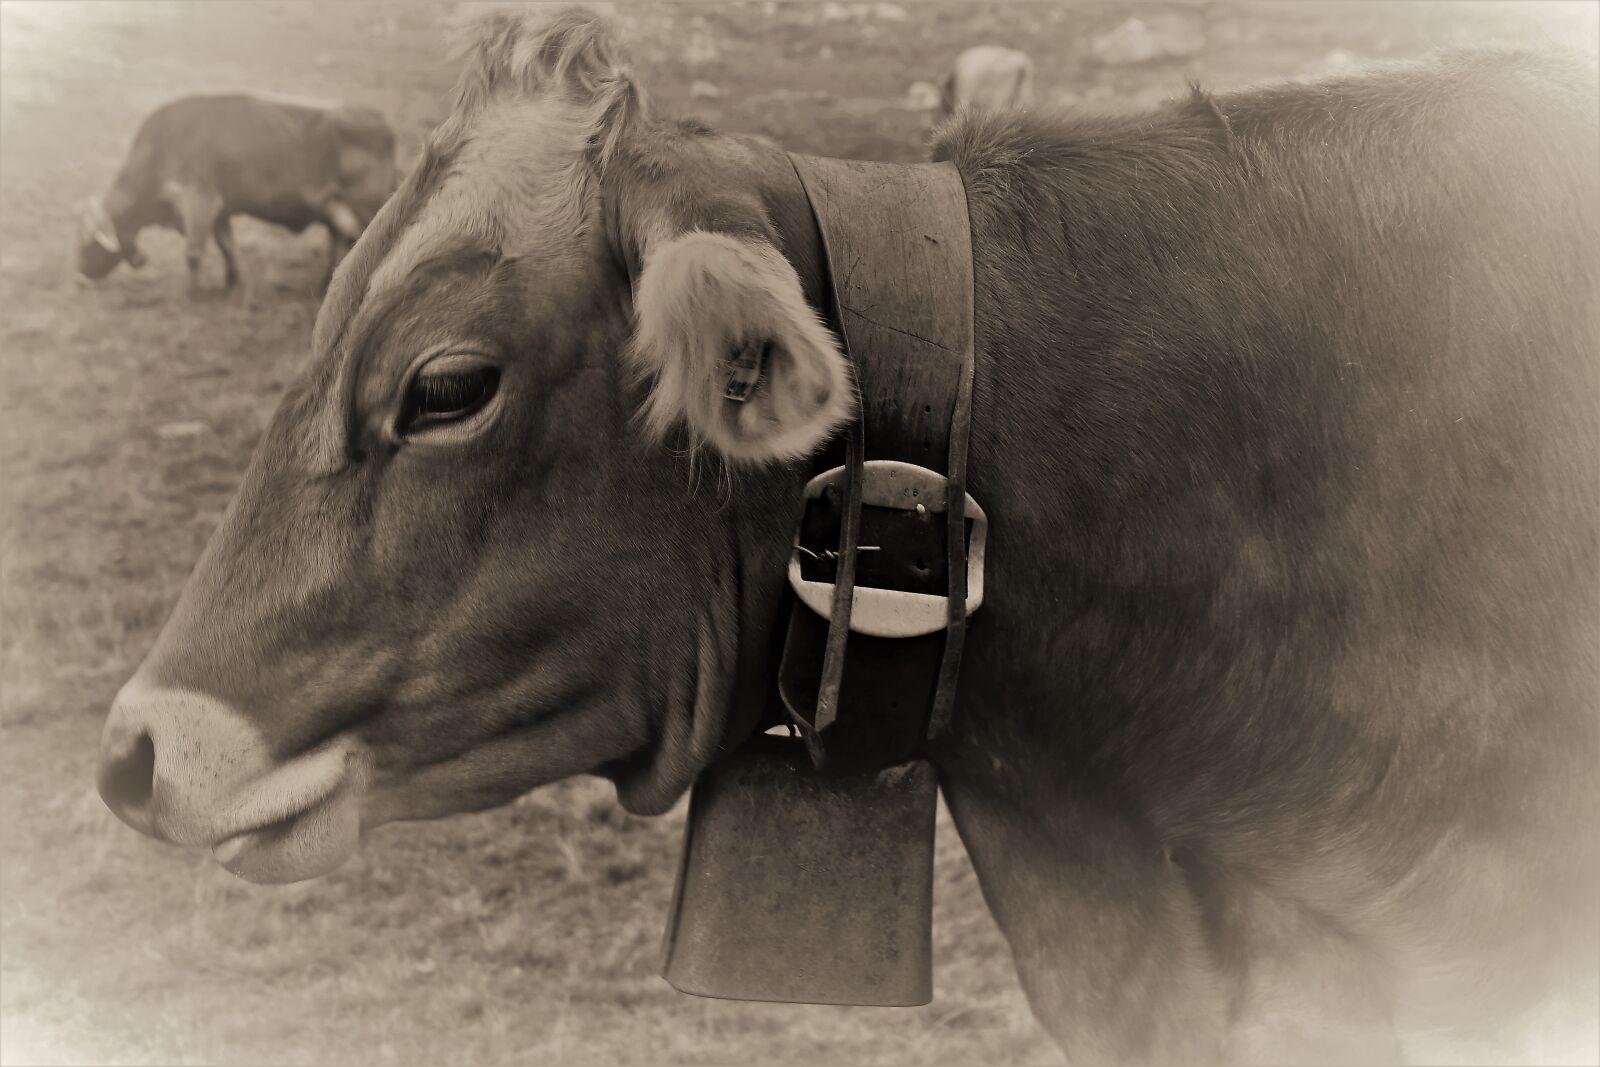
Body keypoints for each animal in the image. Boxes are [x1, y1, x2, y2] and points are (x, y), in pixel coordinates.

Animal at [73, 93, 399, 292]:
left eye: (87, 242)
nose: (80, 276)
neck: (161, 149)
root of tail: (381, 123)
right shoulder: (220, 212)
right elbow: (227, 246)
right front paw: (233, 282)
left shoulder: (199, 201)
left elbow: (194, 252)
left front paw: (192, 293)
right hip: (334, 208)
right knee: (339, 239)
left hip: (367, 208)